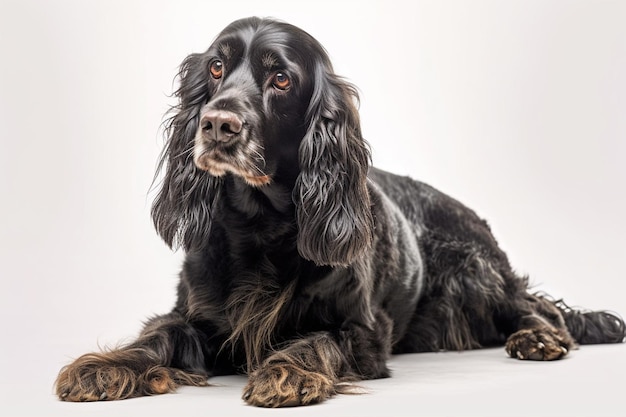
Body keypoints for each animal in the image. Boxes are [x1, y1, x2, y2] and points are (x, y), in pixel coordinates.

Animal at [54, 17, 624, 406]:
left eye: (281, 79)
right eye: (216, 67)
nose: (216, 125)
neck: (259, 225)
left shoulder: (362, 331)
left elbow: (316, 341)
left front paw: (286, 372)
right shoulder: (199, 319)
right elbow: (160, 335)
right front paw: (107, 365)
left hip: (475, 269)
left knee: (537, 305)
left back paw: (538, 337)